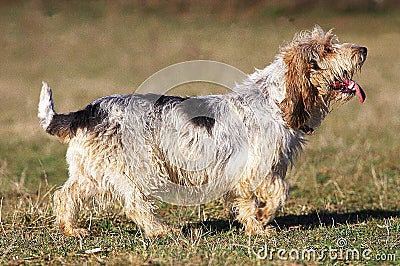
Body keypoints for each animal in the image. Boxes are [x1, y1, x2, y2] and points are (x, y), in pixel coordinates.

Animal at [39, 25, 368, 237]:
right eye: (328, 49)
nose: (363, 49)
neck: (273, 99)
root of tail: (89, 111)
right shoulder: (252, 169)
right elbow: (267, 195)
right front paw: (258, 226)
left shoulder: (270, 167)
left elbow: (277, 191)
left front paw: (261, 221)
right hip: (136, 170)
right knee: (135, 205)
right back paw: (161, 231)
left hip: (92, 173)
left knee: (63, 196)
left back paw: (72, 230)